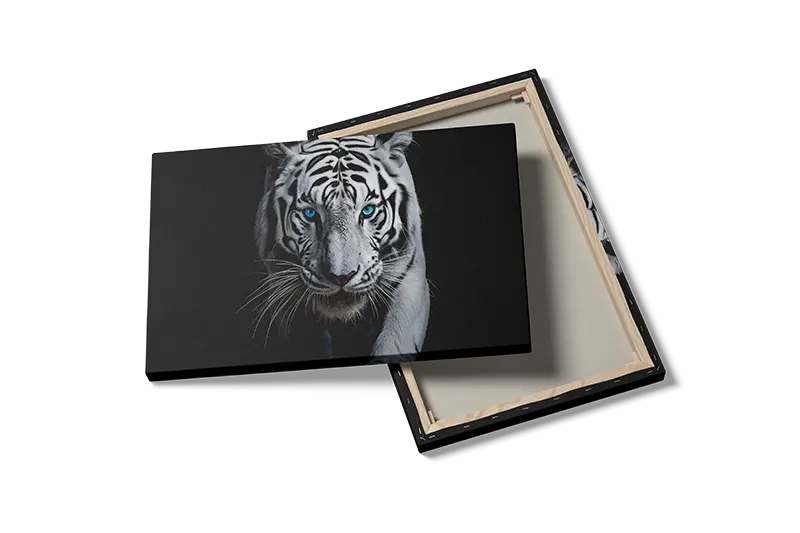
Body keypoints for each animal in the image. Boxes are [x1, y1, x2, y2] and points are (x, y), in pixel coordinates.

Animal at [252, 132, 430, 358]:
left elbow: (395, 341)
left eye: (367, 211)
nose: (341, 277)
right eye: (310, 213)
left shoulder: (411, 280)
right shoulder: (284, 293)